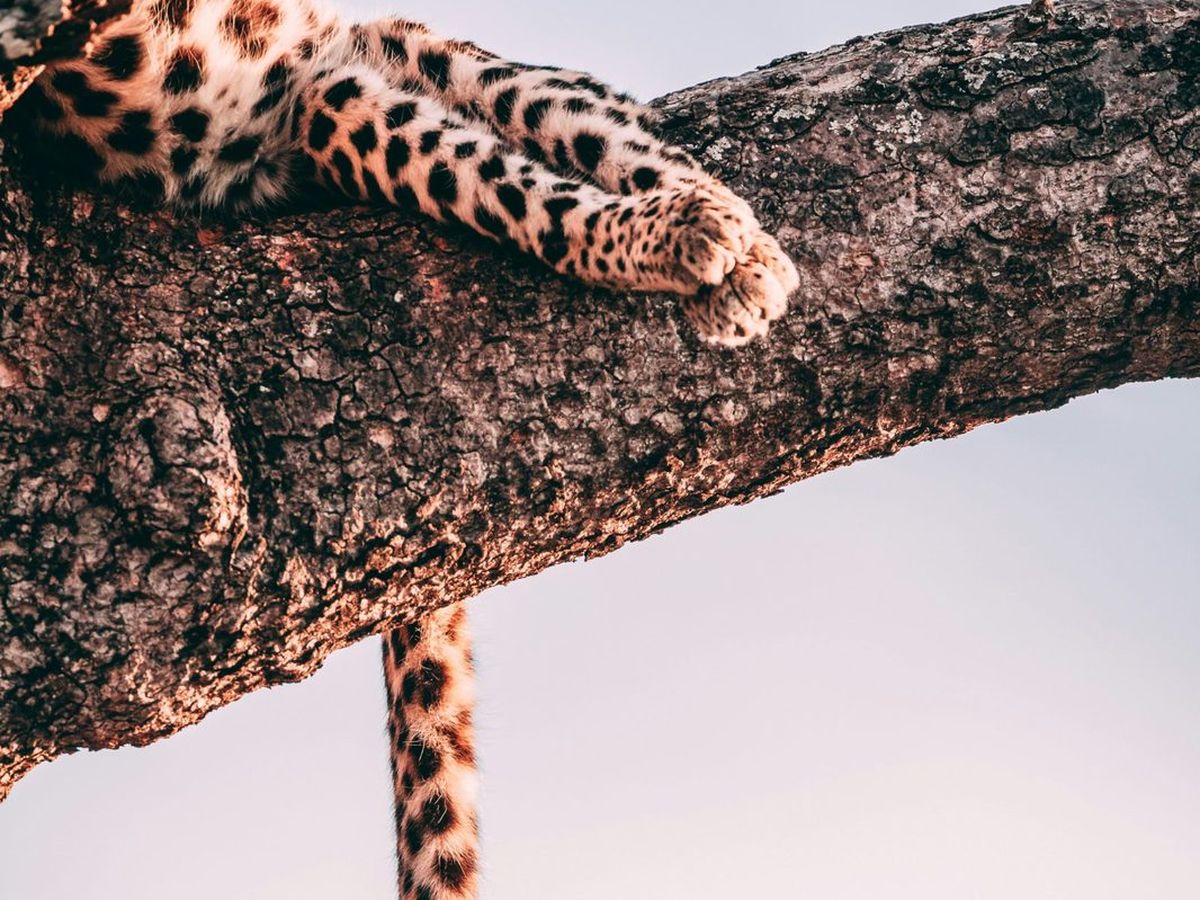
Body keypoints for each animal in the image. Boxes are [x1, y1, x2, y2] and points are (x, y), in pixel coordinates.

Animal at [20, 2, 800, 896]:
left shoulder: (340, 60)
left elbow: (572, 126)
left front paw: (718, 234)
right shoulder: (292, 105)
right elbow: (497, 184)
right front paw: (691, 239)